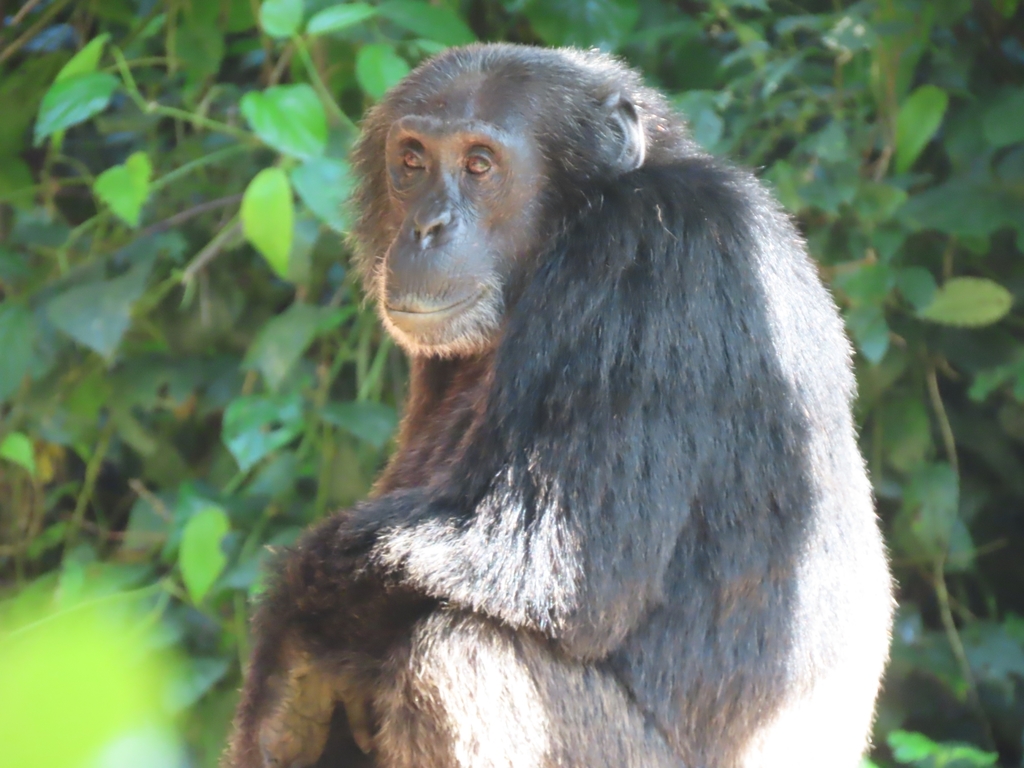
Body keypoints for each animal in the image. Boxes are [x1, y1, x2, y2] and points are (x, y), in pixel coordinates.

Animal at [222, 43, 888, 768]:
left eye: (480, 164)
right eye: (413, 160)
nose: (427, 226)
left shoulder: (649, 261)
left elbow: (546, 560)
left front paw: (289, 659)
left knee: (459, 651)